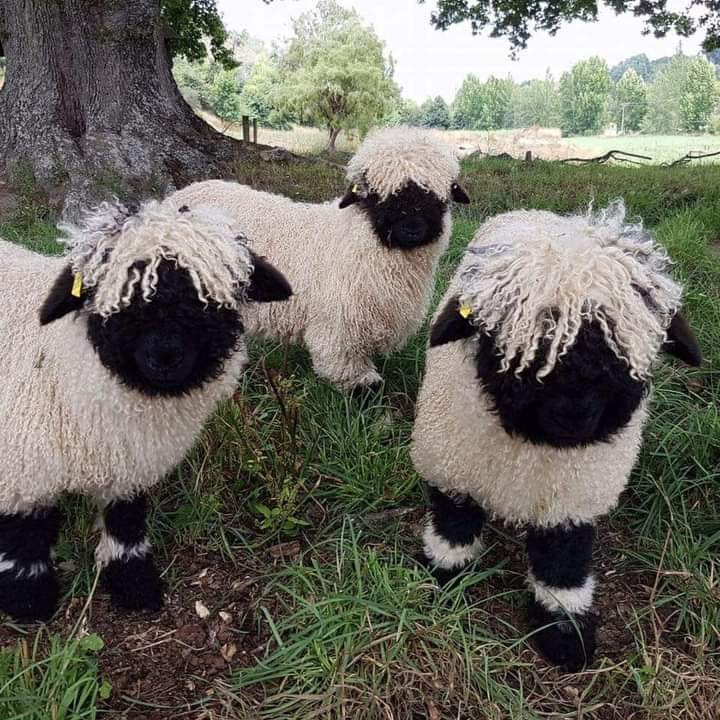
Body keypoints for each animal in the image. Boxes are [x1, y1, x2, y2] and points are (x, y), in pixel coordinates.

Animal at [0, 200, 291, 622]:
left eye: (208, 299)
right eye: (118, 299)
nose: (165, 355)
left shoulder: (129, 461)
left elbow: (126, 522)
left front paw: (134, 583)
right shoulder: (20, 464)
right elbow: (24, 537)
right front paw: (28, 599)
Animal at [171, 126, 470, 392]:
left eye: (440, 197)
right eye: (375, 195)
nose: (412, 229)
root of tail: (181, 194)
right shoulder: (338, 329)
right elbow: (352, 375)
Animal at [411, 201, 702, 671]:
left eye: (621, 347)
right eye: (517, 344)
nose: (574, 415)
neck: (533, 450)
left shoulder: (574, 496)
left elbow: (563, 557)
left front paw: (566, 632)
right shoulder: (452, 462)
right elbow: (454, 520)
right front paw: (444, 573)